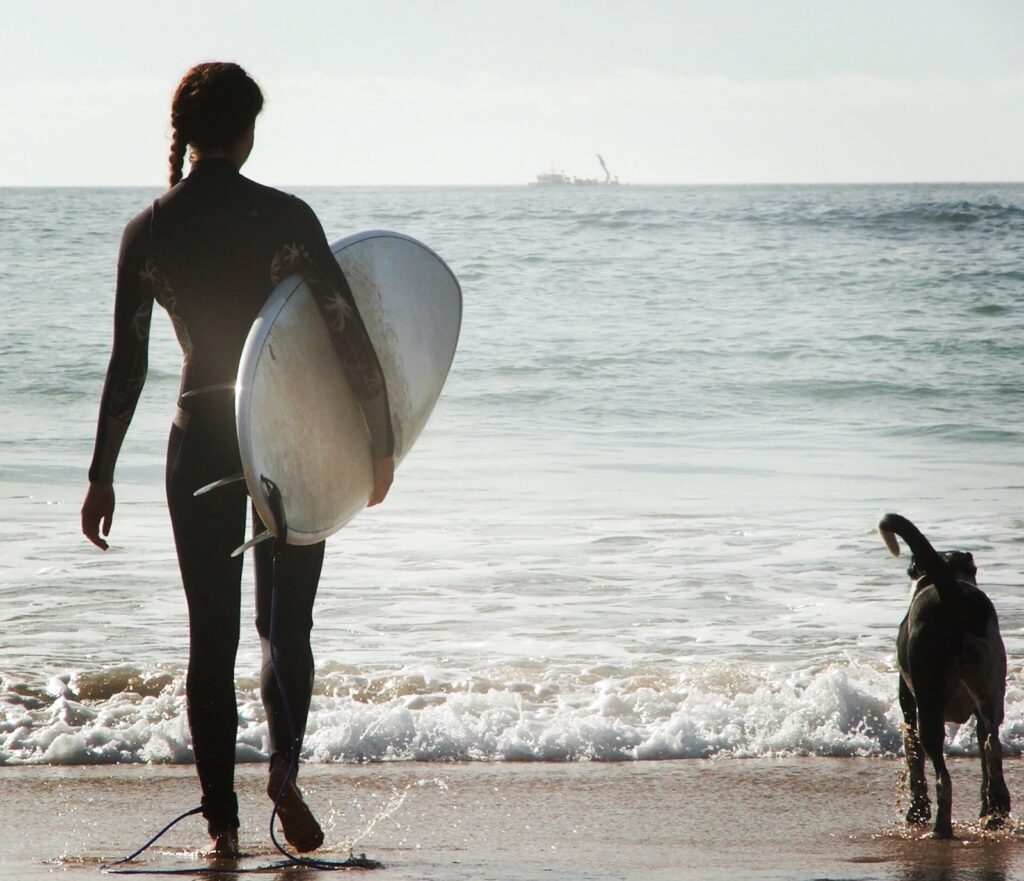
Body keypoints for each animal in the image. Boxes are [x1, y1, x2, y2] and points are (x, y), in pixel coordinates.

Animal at [876, 512, 1011, 835]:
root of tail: (952, 594)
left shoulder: (909, 707)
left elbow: (913, 758)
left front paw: (916, 811)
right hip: (989, 686)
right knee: (991, 746)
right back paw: (996, 813)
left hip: (929, 706)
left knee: (943, 778)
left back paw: (940, 828)